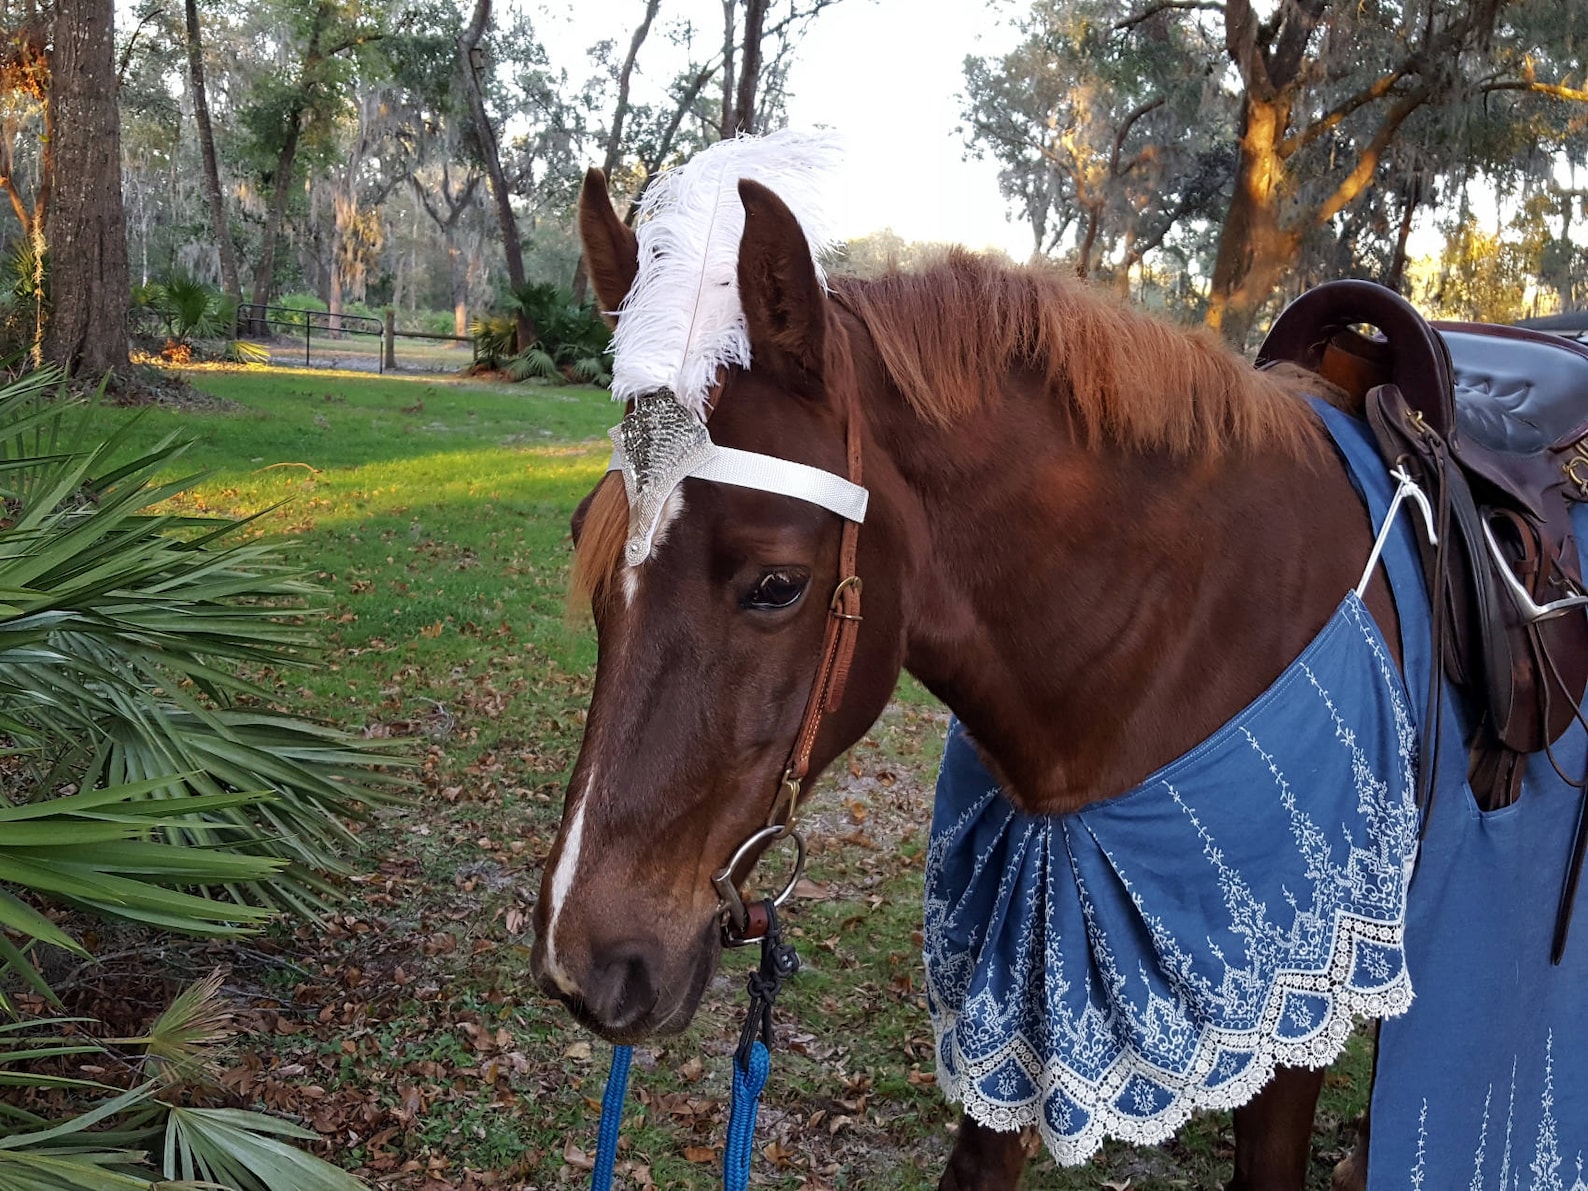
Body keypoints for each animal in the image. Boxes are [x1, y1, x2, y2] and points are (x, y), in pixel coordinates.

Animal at [529, 152, 1582, 1189]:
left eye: (777, 583)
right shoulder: (1019, 994)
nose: (585, 963)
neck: (1192, 617)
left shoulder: (1302, 995)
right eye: (585, 539)